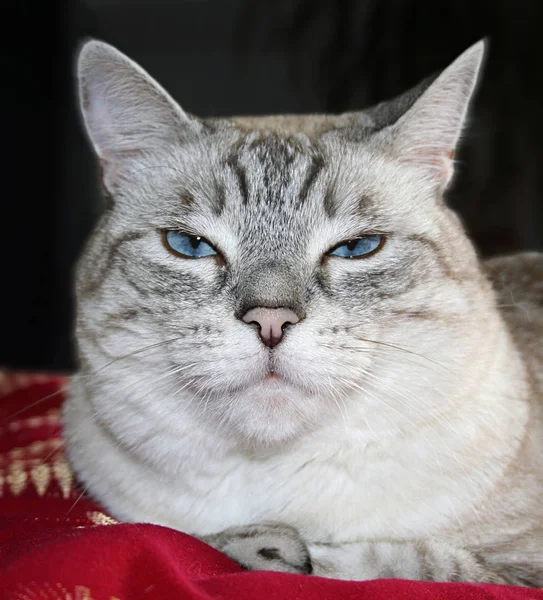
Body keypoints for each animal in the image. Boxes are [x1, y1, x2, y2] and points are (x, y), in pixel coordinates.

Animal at [65, 38, 543, 584]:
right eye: (190, 246)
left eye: (356, 248)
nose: (270, 322)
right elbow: (187, 537)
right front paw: (258, 543)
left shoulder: (517, 570)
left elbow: (401, 560)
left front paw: (287, 550)